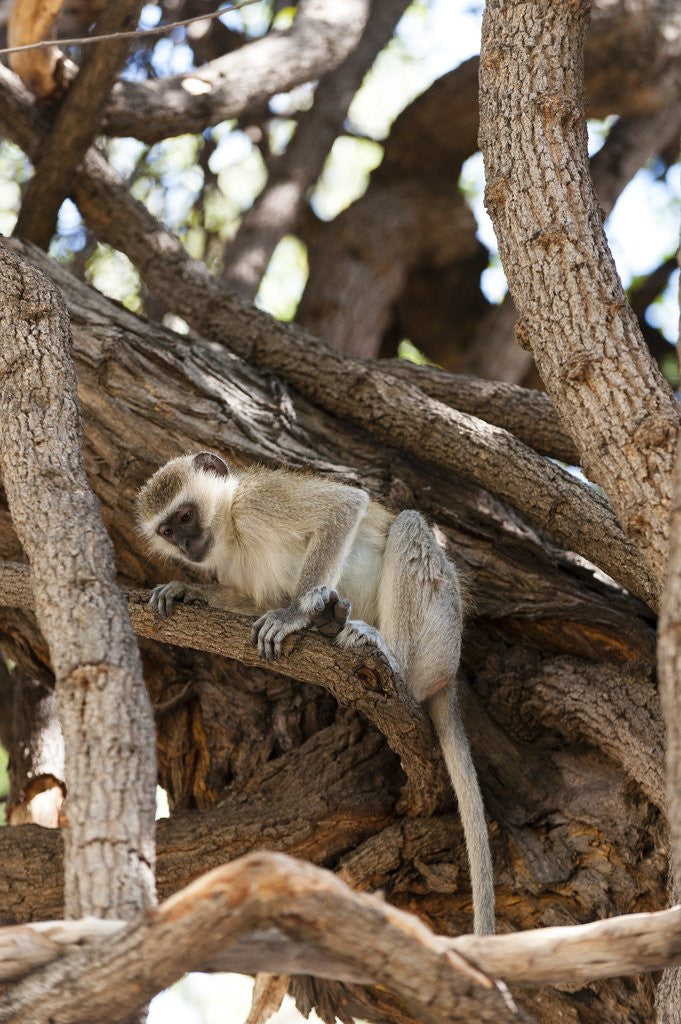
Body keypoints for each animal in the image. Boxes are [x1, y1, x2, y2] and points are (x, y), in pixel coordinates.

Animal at [136, 451, 495, 935]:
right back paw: (330, 623)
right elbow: (256, 602)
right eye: (168, 531)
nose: (188, 544)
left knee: (409, 527)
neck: (232, 532)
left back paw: (387, 653)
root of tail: (450, 673)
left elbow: (342, 507)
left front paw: (293, 614)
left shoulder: (260, 502)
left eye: (186, 515)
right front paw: (189, 591)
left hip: (440, 634)